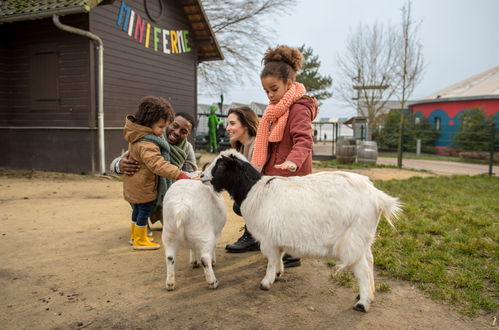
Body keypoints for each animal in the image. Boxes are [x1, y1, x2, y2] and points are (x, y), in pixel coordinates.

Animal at [201, 150, 400, 312]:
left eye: (221, 165)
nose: (202, 175)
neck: (255, 190)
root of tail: (377, 197)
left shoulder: (268, 239)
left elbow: (271, 260)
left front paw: (266, 282)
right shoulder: (277, 237)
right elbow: (278, 257)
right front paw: (278, 274)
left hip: (353, 239)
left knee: (363, 268)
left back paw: (363, 303)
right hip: (364, 238)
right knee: (370, 261)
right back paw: (367, 295)